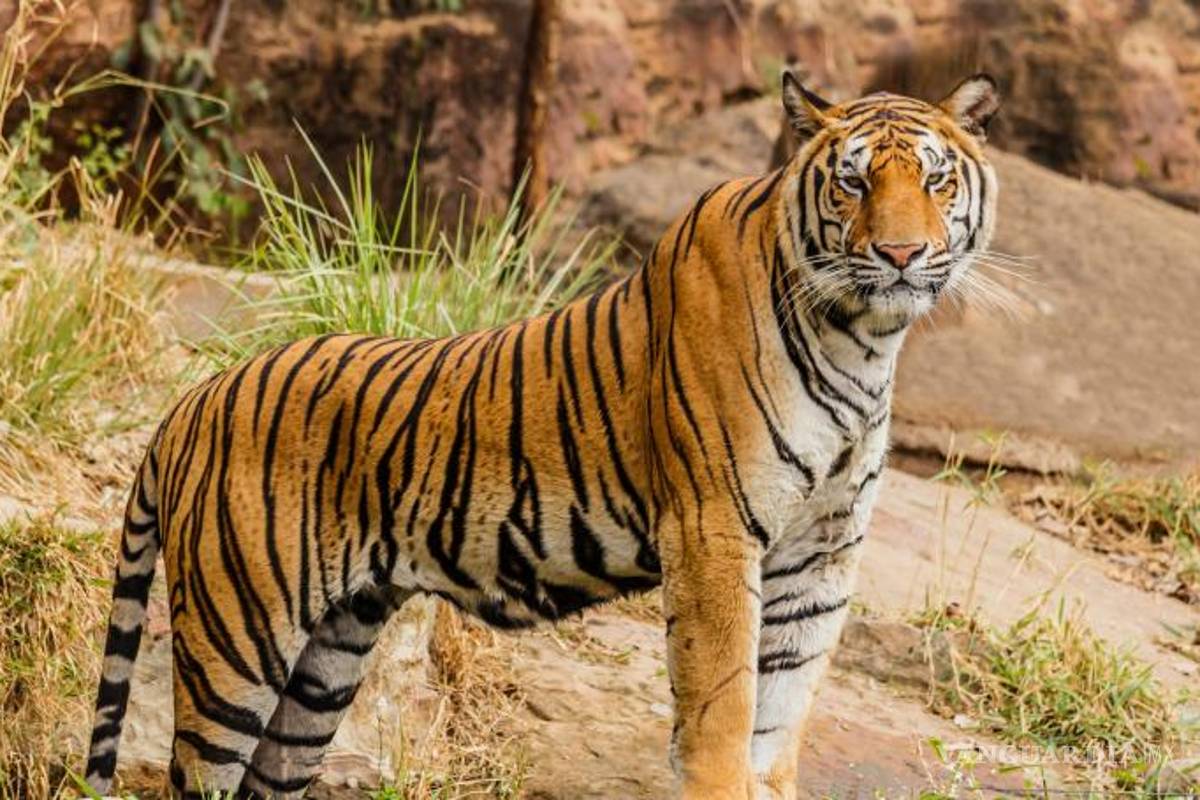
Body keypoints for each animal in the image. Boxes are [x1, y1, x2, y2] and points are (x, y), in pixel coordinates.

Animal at [86, 70, 1000, 800]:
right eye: (852, 183)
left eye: (935, 179)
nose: (900, 253)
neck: (863, 340)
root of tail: (191, 401)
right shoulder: (713, 531)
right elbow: (723, 707)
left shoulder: (822, 554)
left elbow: (780, 714)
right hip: (237, 643)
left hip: (325, 664)